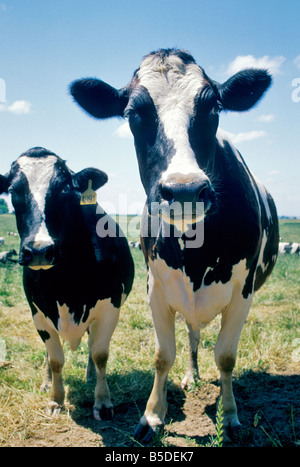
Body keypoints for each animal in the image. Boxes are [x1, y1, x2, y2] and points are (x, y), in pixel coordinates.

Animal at [0, 147, 134, 420]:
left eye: (63, 189)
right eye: (13, 191)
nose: (39, 250)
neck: (67, 283)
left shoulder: (110, 308)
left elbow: (100, 354)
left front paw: (103, 402)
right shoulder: (39, 312)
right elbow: (55, 359)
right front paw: (55, 399)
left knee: (92, 345)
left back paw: (90, 376)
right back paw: (47, 382)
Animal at [69, 47, 278, 442]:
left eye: (213, 108)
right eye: (133, 113)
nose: (184, 191)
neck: (195, 253)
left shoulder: (243, 293)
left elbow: (226, 356)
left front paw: (230, 416)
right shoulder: (157, 289)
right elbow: (163, 355)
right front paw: (152, 416)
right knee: (192, 336)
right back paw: (191, 375)